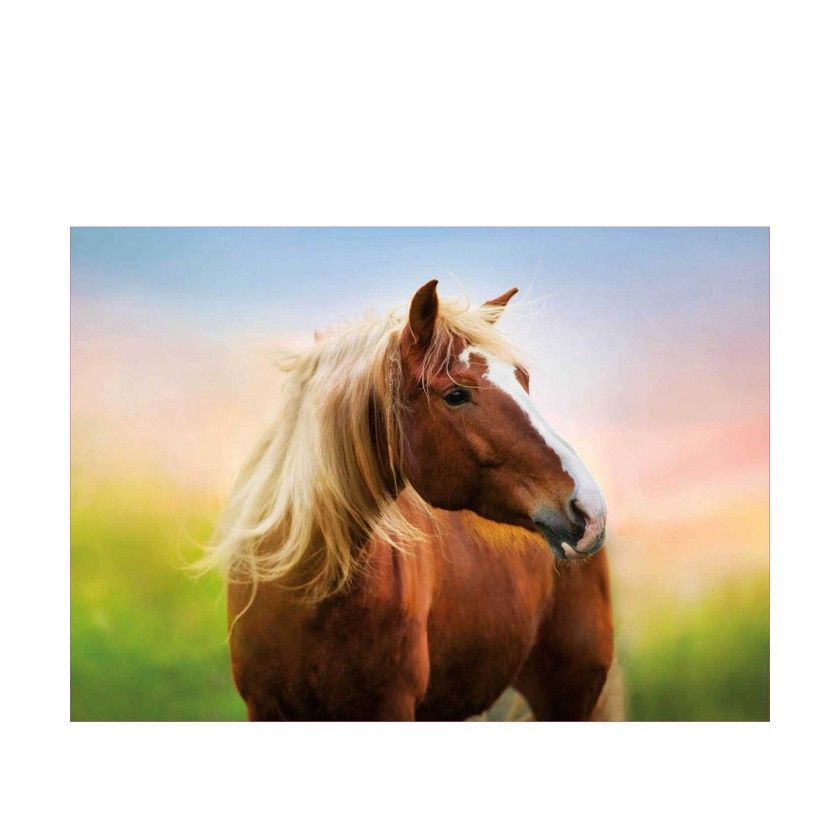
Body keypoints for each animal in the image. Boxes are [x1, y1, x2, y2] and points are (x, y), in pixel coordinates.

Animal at [206, 280, 620, 721]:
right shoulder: (264, 706)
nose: (590, 508)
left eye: (523, 380)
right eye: (455, 394)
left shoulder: (390, 706)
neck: (308, 592)